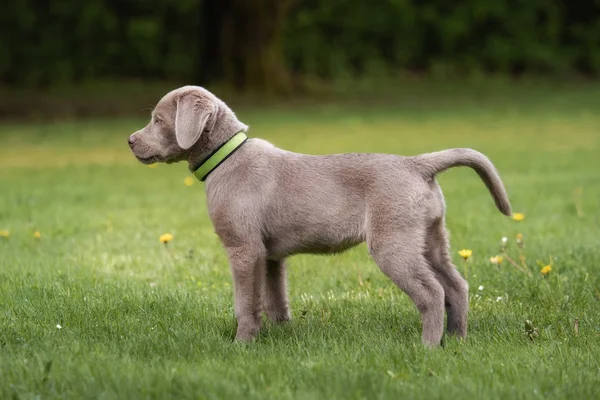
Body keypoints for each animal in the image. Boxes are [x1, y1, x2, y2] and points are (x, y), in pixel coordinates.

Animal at [127, 85, 510, 346]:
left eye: (157, 120)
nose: (130, 141)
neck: (226, 156)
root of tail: (417, 165)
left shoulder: (243, 248)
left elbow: (245, 303)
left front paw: (241, 344)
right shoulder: (269, 256)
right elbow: (275, 299)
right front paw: (282, 334)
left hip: (393, 242)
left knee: (432, 293)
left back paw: (428, 346)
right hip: (431, 237)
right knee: (456, 285)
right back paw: (457, 339)